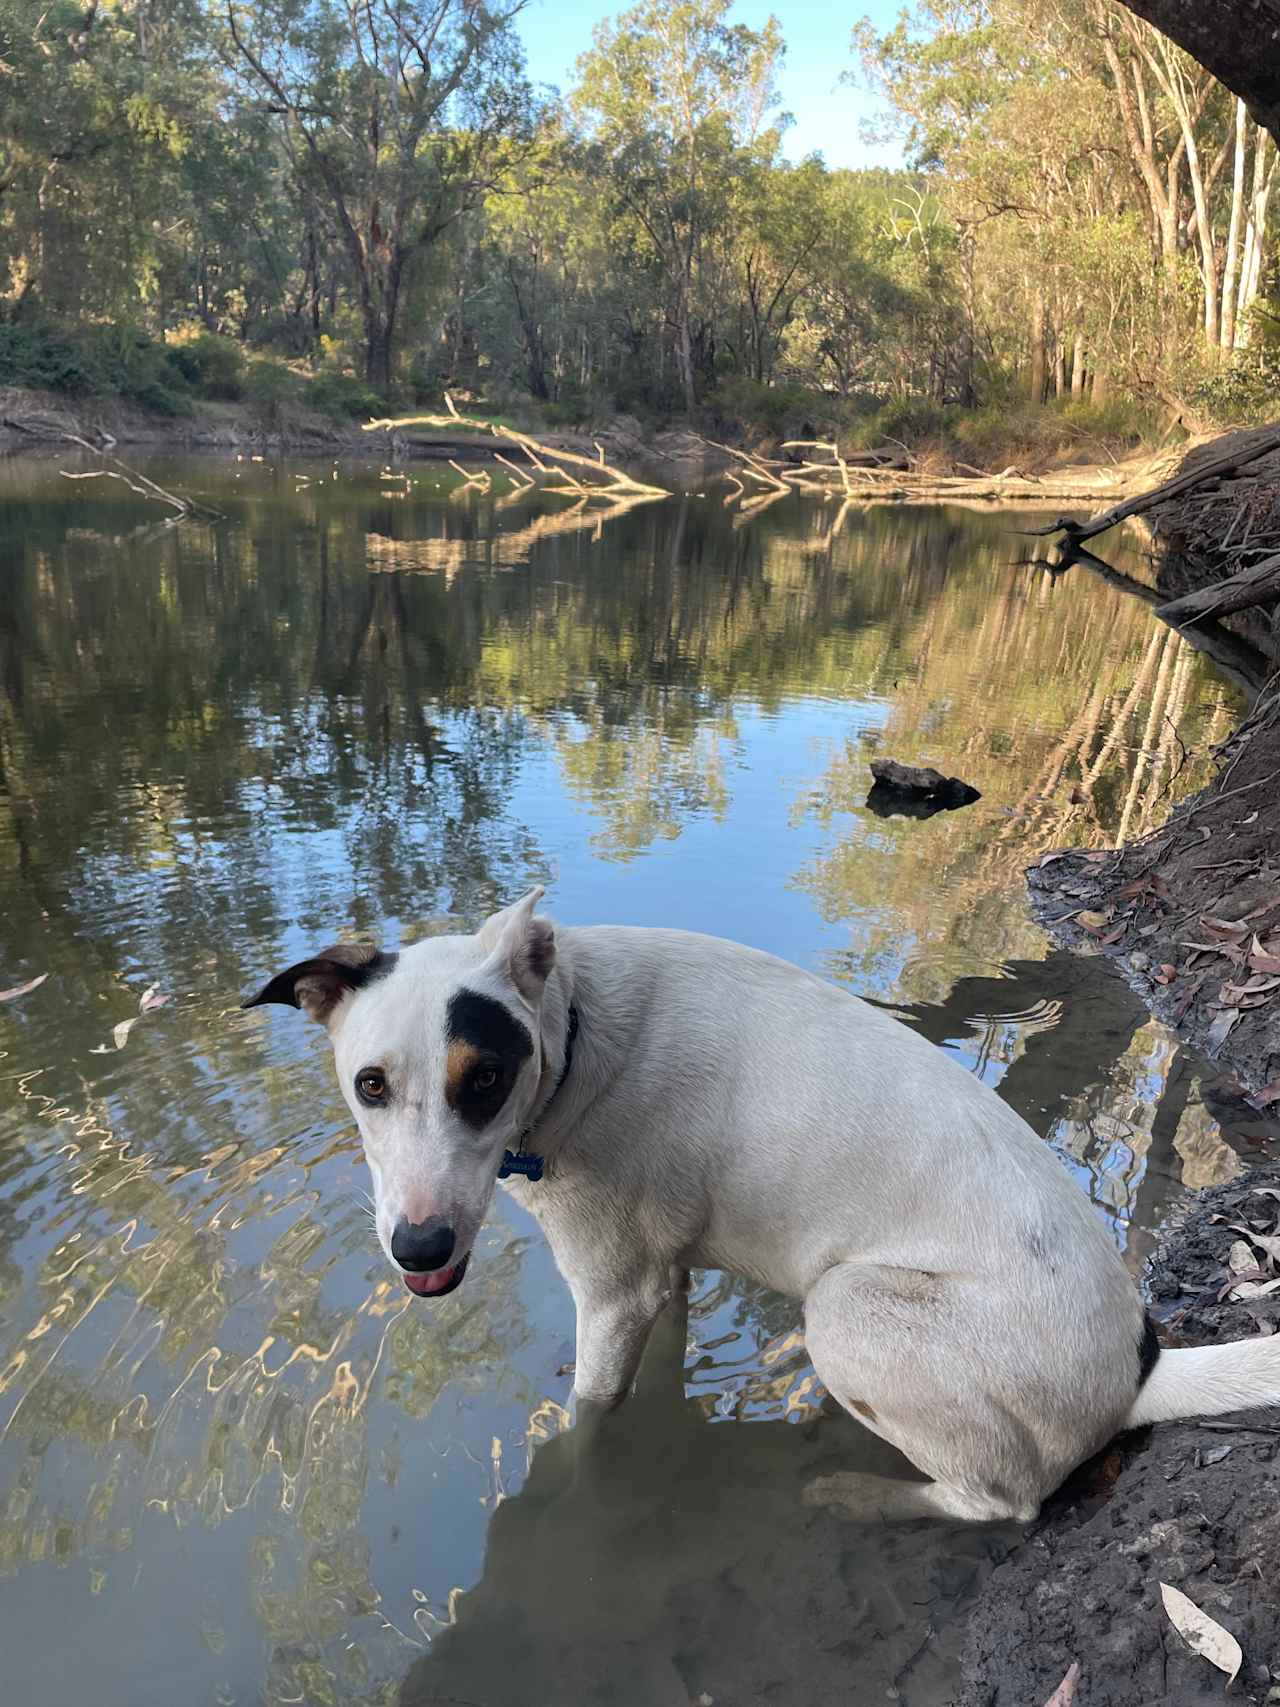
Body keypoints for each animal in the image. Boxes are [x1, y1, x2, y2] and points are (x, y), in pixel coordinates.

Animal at [242, 894, 1280, 1522]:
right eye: (369, 1085)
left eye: (484, 1078)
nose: (418, 1246)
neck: (575, 1033)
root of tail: (1138, 1365)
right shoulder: (661, 1277)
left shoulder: (612, 1293)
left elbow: (589, 1417)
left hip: (851, 1307)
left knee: (999, 1500)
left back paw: (852, 1494)